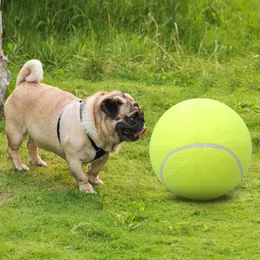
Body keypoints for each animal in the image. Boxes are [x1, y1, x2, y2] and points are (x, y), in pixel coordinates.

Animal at [4, 59, 146, 193]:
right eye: (132, 118)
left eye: (141, 114)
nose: (142, 120)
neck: (93, 126)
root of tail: (23, 84)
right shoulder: (74, 161)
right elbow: (81, 176)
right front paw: (86, 188)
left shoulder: (103, 156)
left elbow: (94, 169)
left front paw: (94, 180)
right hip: (16, 132)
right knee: (12, 150)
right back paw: (19, 166)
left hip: (36, 132)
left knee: (31, 145)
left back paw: (37, 161)